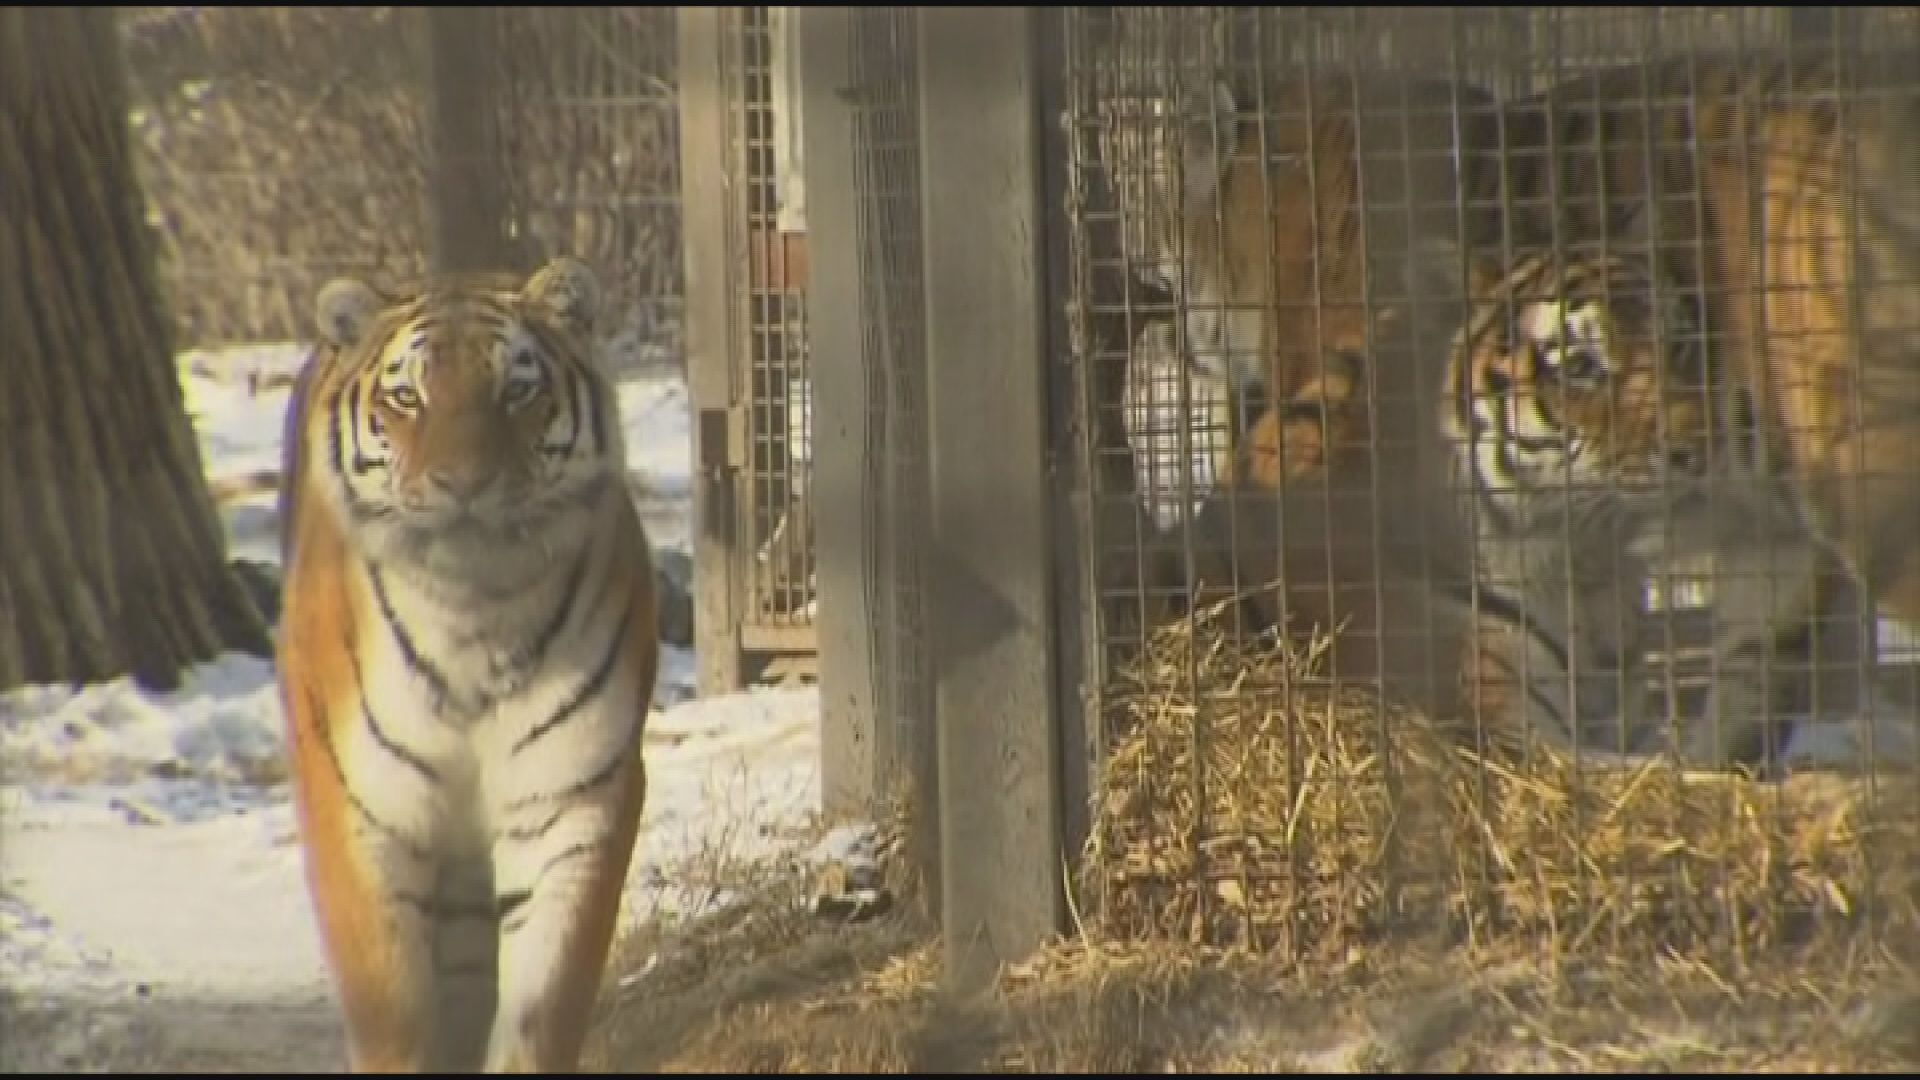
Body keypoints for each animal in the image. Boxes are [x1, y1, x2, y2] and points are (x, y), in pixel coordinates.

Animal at [274, 253, 656, 1068]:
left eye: (517, 391)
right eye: (406, 398)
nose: (464, 483)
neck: (475, 615)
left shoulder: (571, 802)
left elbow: (544, 1001)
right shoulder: (360, 812)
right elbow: (395, 1009)